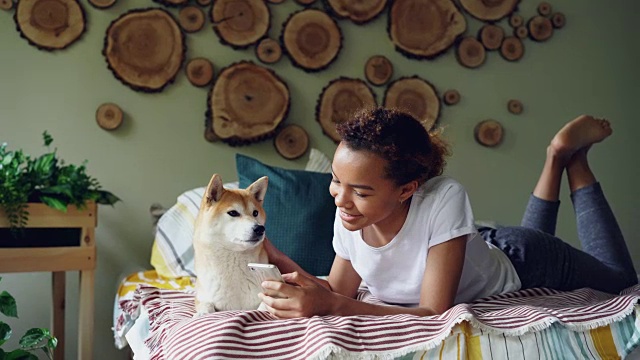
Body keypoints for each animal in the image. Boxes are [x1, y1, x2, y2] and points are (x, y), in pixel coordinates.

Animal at [192, 174, 268, 316]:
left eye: (255, 213)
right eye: (233, 213)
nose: (260, 228)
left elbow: (263, 307)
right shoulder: (202, 297)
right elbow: (206, 304)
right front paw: (202, 313)